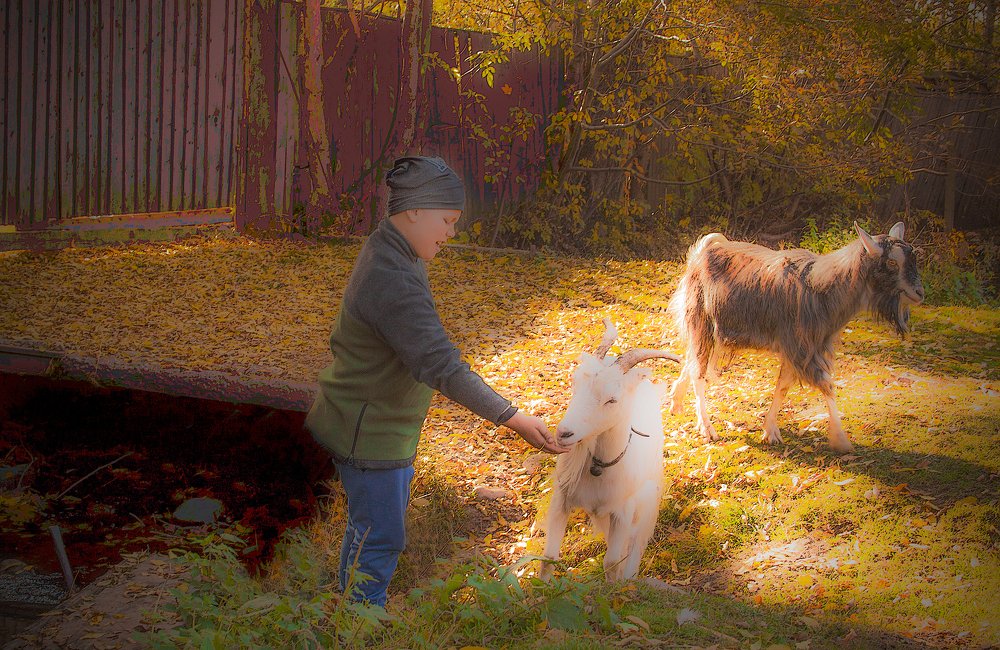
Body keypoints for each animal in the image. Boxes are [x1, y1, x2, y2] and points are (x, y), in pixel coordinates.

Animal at [540, 319, 679, 581]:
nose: (563, 433)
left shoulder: (623, 510)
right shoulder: (562, 499)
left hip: (648, 495)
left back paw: (631, 576)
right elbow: (548, 558)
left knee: (637, 539)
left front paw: (617, 588)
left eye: (612, 399)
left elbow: (612, 561)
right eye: (575, 385)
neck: (599, 468)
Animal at [669, 222, 924, 453]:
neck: (823, 289)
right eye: (892, 262)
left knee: (692, 361)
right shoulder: (801, 347)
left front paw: (771, 431)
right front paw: (841, 441)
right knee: (698, 371)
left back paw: (676, 403)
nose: (920, 293)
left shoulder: (801, 347)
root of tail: (700, 254)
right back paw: (707, 428)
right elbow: (827, 385)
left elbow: (782, 386)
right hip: (701, 320)